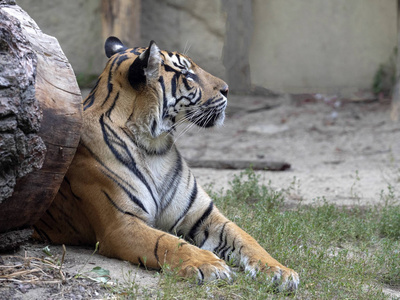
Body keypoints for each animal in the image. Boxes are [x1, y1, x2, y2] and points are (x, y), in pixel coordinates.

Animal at [32, 36, 298, 292]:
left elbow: (246, 238)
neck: (155, 146)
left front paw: (279, 271)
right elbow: (169, 242)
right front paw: (209, 264)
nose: (227, 89)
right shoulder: (121, 224)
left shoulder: (204, 214)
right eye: (188, 74)